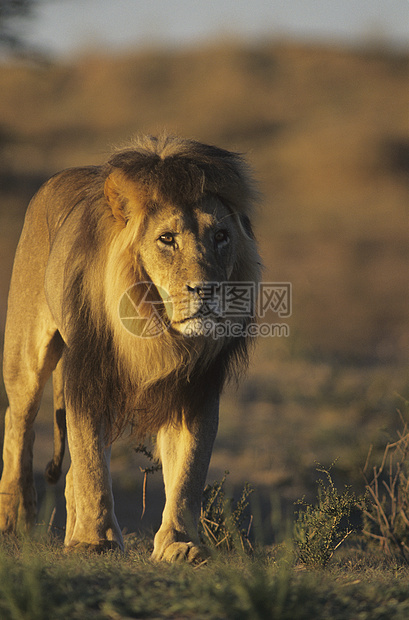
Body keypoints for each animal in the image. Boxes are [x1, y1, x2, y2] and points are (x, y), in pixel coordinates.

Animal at [0, 136, 260, 560]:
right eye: (166, 239)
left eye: (221, 236)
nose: (206, 290)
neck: (155, 331)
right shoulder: (87, 378)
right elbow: (91, 463)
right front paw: (95, 542)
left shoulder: (194, 389)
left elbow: (188, 473)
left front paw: (180, 543)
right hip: (26, 352)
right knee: (18, 422)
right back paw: (15, 516)